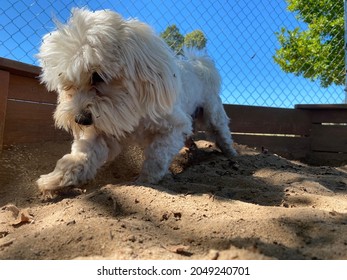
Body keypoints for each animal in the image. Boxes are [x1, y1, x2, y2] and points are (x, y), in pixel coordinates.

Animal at [36, 7, 237, 196]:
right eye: (67, 85)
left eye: (98, 76)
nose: (80, 119)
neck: (130, 109)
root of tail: (199, 65)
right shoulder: (103, 129)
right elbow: (82, 155)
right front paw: (54, 180)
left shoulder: (174, 127)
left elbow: (157, 156)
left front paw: (145, 181)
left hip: (212, 115)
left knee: (222, 135)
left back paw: (232, 156)